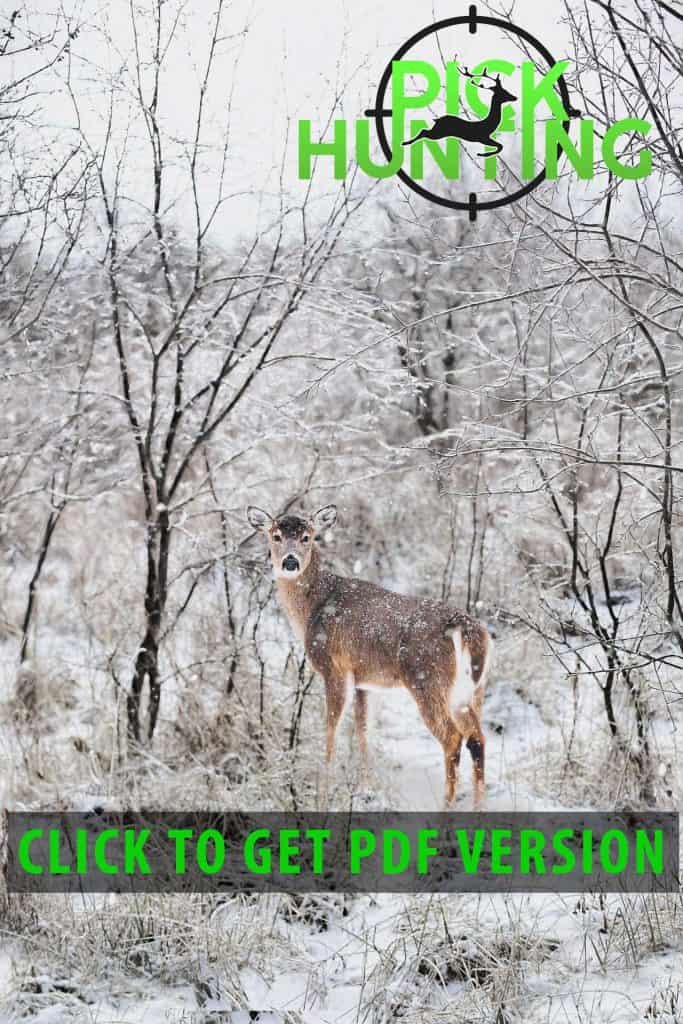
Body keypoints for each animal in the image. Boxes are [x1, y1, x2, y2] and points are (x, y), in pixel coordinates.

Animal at [247, 504, 492, 810]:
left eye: (307, 537)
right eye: (276, 536)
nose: (290, 562)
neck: (312, 609)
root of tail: (468, 630)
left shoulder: (334, 668)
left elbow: (332, 730)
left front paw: (323, 793)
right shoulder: (365, 680)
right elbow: (364, 732)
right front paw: (368, 789)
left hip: (427, 680)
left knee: (453, 737)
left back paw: (445, 807)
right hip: (471, 690)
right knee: (477, 738)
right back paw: (478, 807)